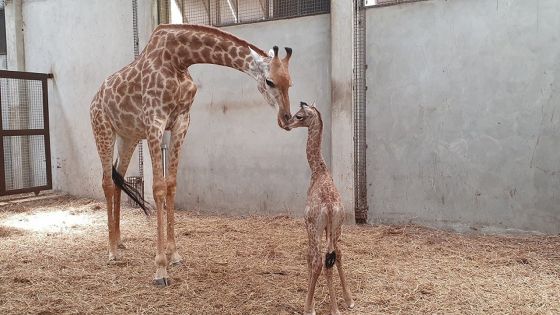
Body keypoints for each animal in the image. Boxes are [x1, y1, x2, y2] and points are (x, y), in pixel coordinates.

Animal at [88, 24, 294, 286]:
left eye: (290, 83)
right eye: (269, 81)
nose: (286, 119)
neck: (178, 59)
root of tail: (95, 98)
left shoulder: (181, 122)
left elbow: (172, 185)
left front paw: (174, 254)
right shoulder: (155, 122)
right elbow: (158, 188)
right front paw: (160, 269)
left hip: (128, 137)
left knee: (118, 179)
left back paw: (119, 241)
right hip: (103, 130)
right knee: (106, 182)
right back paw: (112, 251)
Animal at [288, 102, 354, 314]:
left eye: (299, 116)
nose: (288, 124)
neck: (318, 170)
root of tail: (330, 208)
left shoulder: (308, 223)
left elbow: (309, 257)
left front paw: (311, 304)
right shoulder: (328, 228)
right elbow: (333, 257)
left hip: (315, 227)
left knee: (317, 260)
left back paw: (309, 308)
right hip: (337, 227)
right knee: (335, 255)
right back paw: (344, 303)